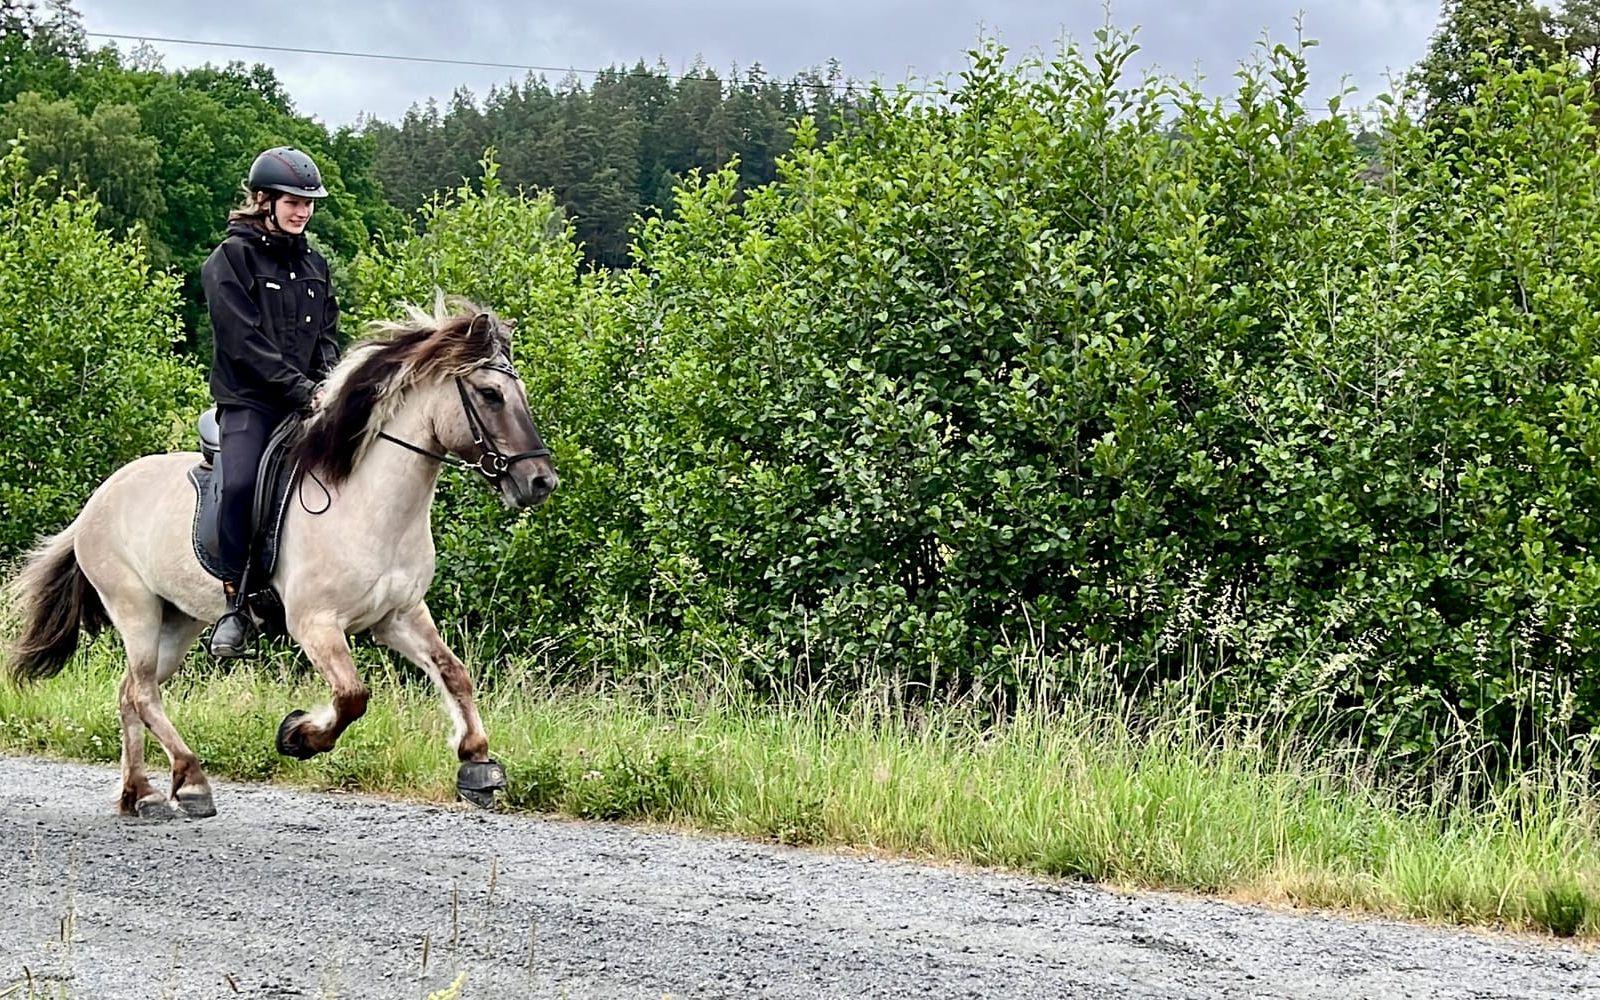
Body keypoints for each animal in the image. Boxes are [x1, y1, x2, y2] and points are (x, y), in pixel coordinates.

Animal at [0, 300, 560, 816]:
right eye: (490, 395)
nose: (540, 482)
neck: (368, 503)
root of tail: (96, 502)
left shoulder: (398, 615)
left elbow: (453, 672)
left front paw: (477, 762)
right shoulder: (315, 623)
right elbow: (352, 696)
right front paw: (298, 735)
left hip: (176, 619)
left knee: (130, 691)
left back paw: (142, 793)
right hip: (134, 607)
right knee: (141, 693)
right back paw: (191, 781)